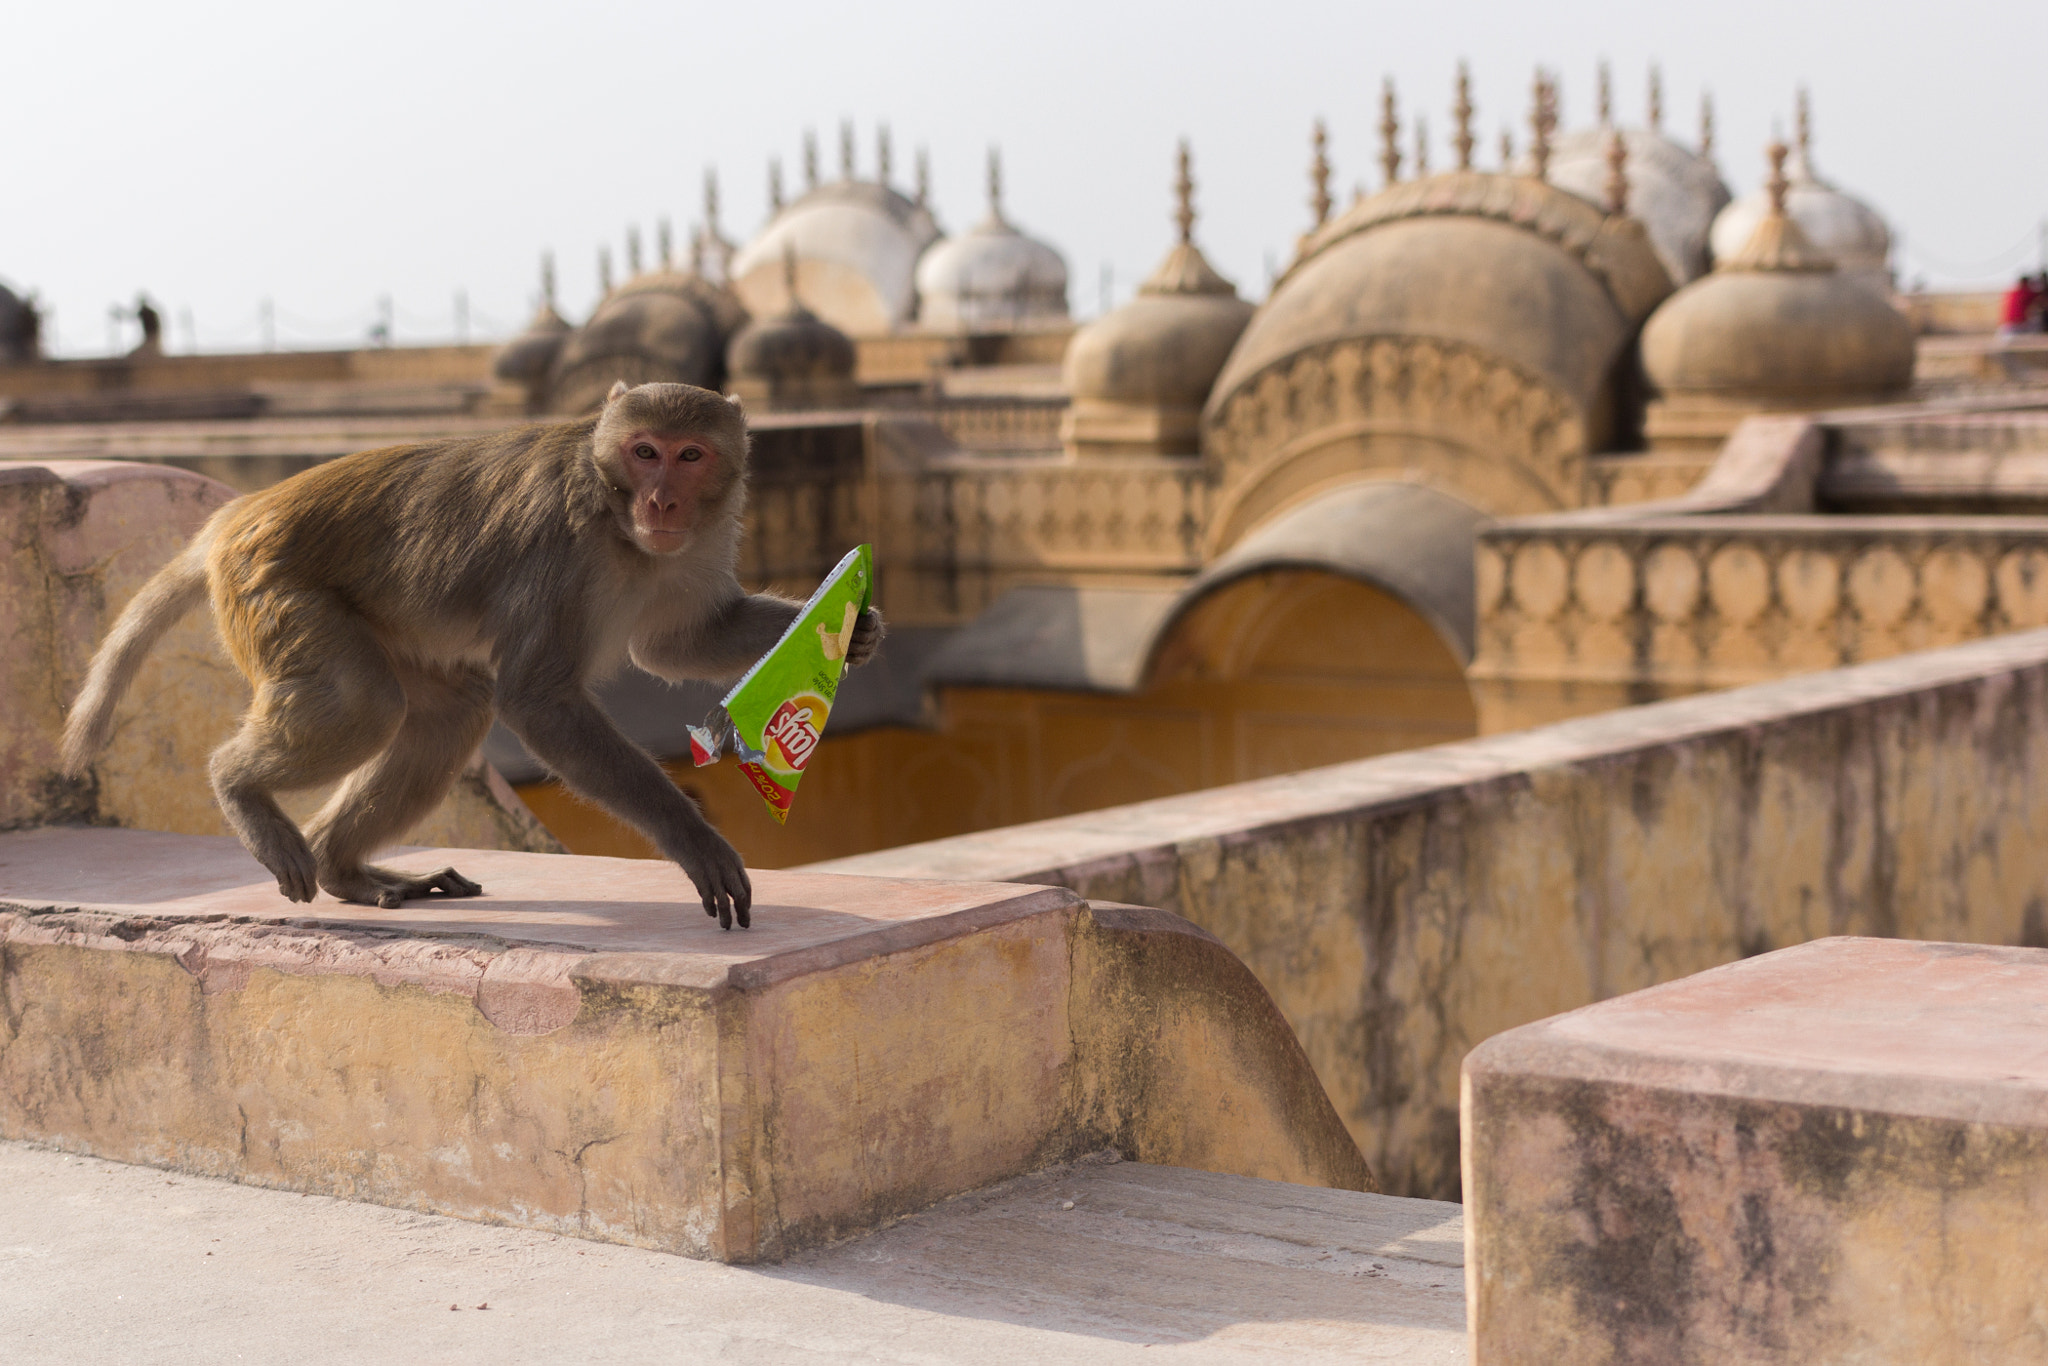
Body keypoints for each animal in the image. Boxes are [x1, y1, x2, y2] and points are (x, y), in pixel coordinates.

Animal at [61, 382, 880, 929]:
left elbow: (679, 641)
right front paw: (693, 838)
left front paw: (853, 627)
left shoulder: (696, 543)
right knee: (365, 706)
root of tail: (237, 514)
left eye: (690, 455)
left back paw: (342, 867)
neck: (619, 524)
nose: (662, 502)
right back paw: (241, 790)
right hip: (276, 590)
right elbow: (538, 699)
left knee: (449, 712)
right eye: (644, 452)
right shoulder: (563, 549)